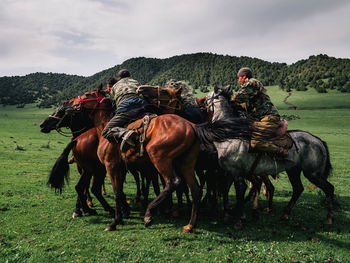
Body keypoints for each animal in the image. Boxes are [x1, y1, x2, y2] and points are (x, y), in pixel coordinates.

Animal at [194, 85, 334, 230]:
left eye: (207, 95)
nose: (197, 101)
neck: (230, 135)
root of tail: (318, 141)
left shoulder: (237, 173)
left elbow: (239, 192)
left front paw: (240, 220)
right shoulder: (229, 172)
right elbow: (226, 190)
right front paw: (228, 214)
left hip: (313, 174)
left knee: (329, 189)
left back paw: (329, 219)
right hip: (293, 170)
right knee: (298, 189)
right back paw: (285, 214)